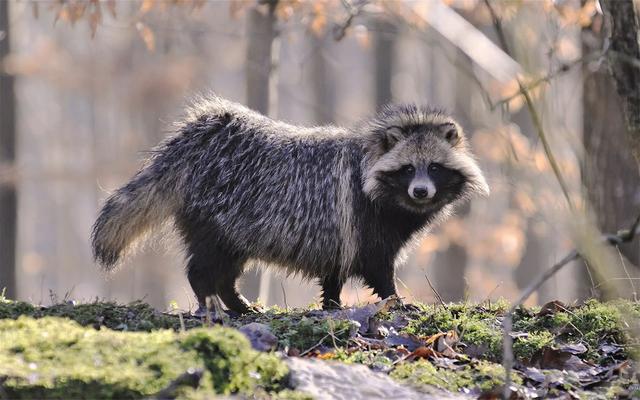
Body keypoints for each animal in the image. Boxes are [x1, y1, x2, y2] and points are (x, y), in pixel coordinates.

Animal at [91, 95, 490, 314]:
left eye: (434, 167)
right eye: (408, 169)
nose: (421, 192)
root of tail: (197, 139)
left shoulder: (339, 231)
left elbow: (334, 271)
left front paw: (332, 303)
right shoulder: (363, 220)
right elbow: (377, 266)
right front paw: (394, 299)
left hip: (235, 227)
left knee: (227, 269)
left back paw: (235, 301)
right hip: (216, 214)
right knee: (204, 265)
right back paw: (210, 298)